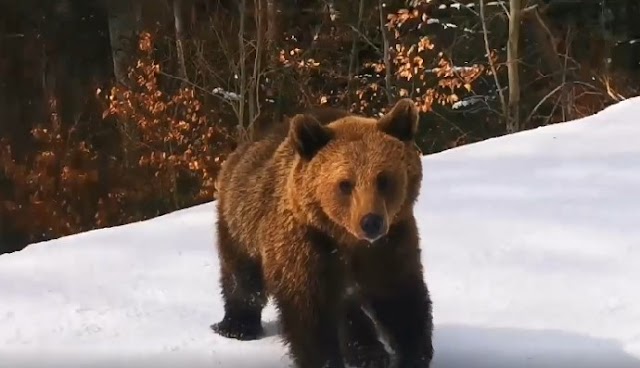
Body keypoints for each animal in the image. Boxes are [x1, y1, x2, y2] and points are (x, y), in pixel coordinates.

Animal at [212, 98, 432, 368]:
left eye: (383, 179)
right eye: (345, 184)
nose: (371, 222)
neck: (347, 240)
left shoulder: (390, 244)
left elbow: (400, 300)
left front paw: (412, 354)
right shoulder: (306, 247)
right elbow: (311, 315)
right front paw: (326, 358)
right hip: (241, 223)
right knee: (243, 280)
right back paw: (237, 326)